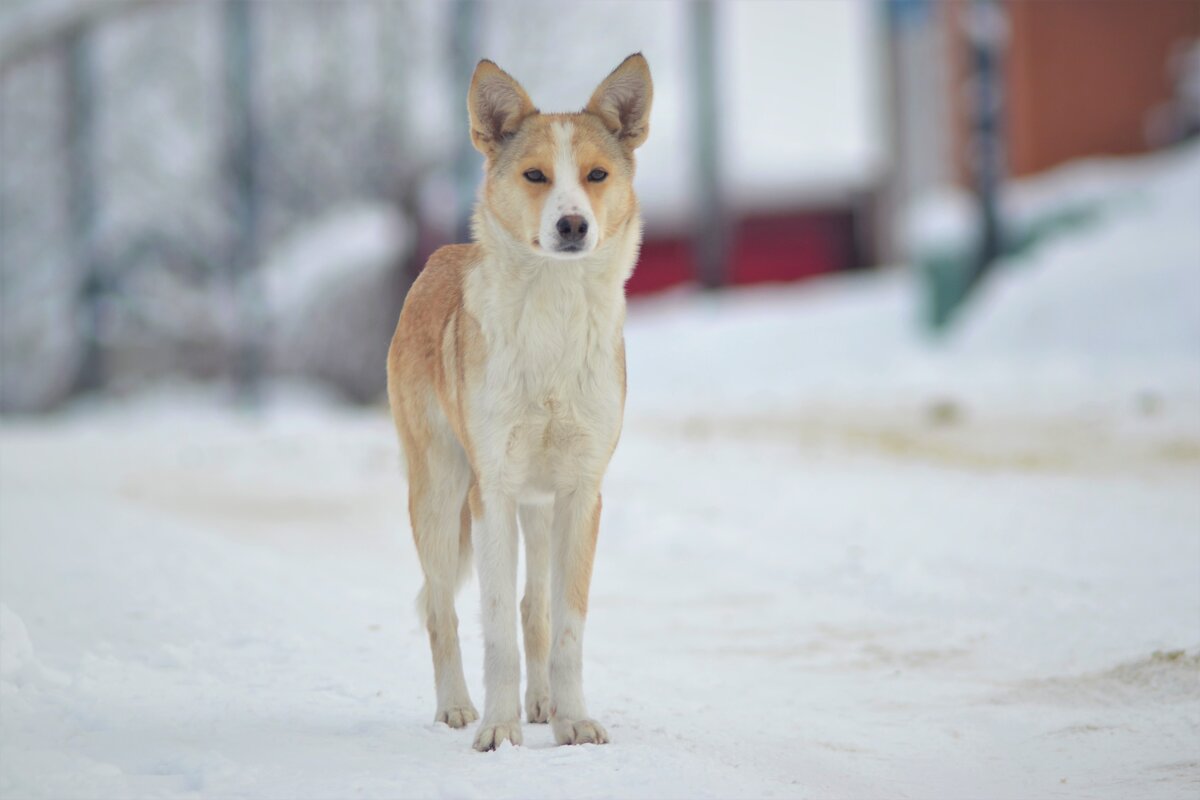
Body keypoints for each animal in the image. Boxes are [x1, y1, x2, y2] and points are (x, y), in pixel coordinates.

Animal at [386, 51, 652, 753]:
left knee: (537, 608)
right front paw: (498, 729)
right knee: (442, 610)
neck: (554, 316)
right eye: (535, 175)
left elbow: (564, 626)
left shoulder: (580, 493)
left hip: (539, 506)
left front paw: (572, 720)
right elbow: (497, 623)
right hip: (439, 493)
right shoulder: (494, 491)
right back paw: (458, 708)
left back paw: (542, 704)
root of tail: (439, 256)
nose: (572, 224)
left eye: (595, 175)